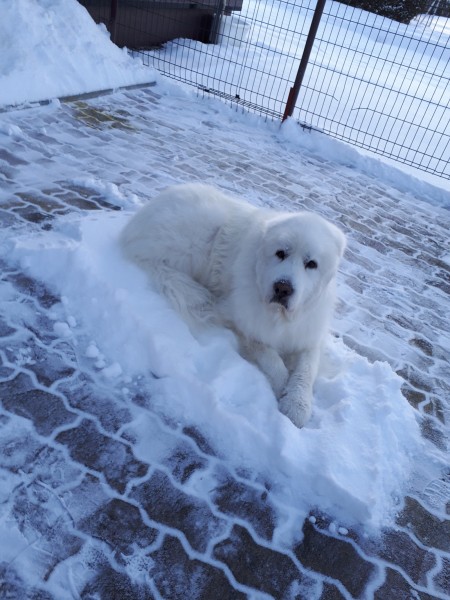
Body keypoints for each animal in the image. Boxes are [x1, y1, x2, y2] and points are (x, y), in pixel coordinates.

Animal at [119, 182, 344, 426]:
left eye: (311, 264)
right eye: (280, 253)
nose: (282, 288)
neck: (278, 316)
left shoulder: (308, 333)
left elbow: (307, 368)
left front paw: (297, 403)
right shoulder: (241, 322)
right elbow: (269, 356)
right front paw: (282, 385)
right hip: (203, 231)